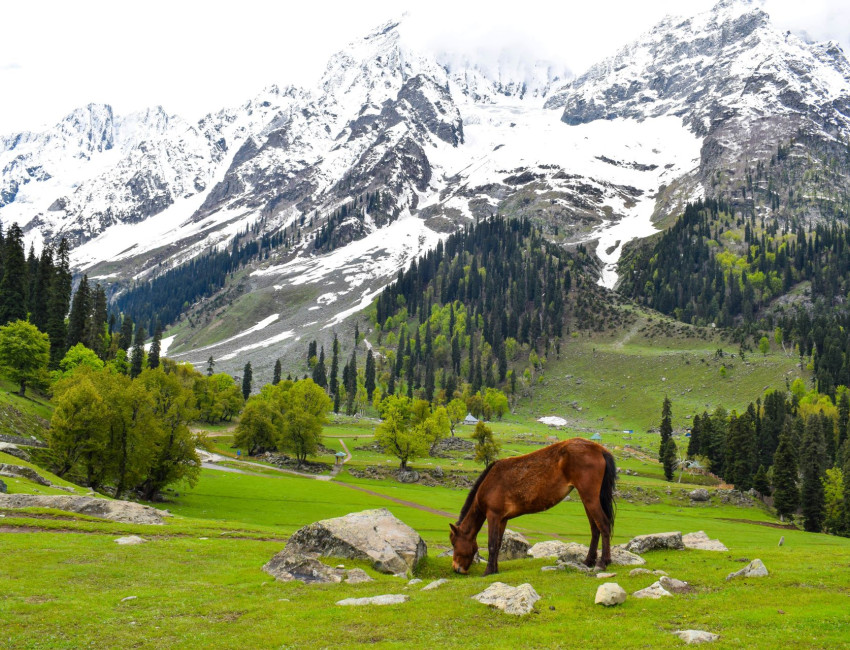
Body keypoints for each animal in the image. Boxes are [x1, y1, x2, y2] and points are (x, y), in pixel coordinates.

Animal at [448, 436, 612, 572]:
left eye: (454, 543)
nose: (456, 568)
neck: (489, 483)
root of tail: (599, 449)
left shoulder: (493, 516)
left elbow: (492, 544)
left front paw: (488, 571)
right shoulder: (502, 519)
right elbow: (499, 543)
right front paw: (494, 570)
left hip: (590, 498)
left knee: (604, 525)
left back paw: (603, 562)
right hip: (587, 500)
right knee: (595, 528)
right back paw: (589, 561)